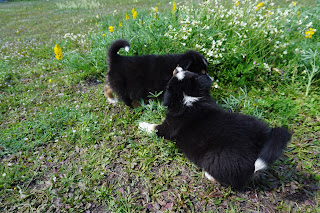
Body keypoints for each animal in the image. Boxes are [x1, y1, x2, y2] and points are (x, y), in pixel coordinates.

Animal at [139, 67, 292, 190]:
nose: (177, 67)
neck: (189, 98)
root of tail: (261, 141)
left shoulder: (167, 129)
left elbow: (154, 127)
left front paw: (141, 124)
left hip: (215, 158)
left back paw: (209, 174)